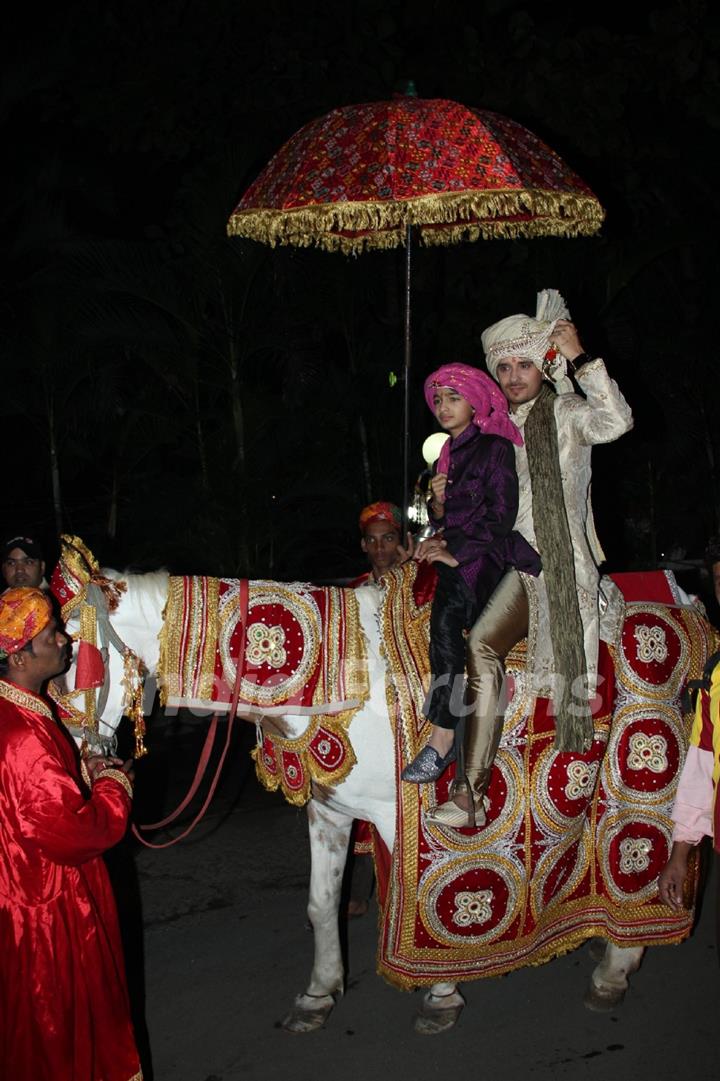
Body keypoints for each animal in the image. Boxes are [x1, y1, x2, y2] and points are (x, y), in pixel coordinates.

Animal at [54, 553, 700, 1033]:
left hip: (648, 779)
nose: (77, 755)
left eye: (72, 660)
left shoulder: (399, 818)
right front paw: (318, 993)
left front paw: (439, 993)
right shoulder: (328, 812)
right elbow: (321, 905)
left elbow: (410, 898)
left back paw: (615, 969)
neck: (339, 674)